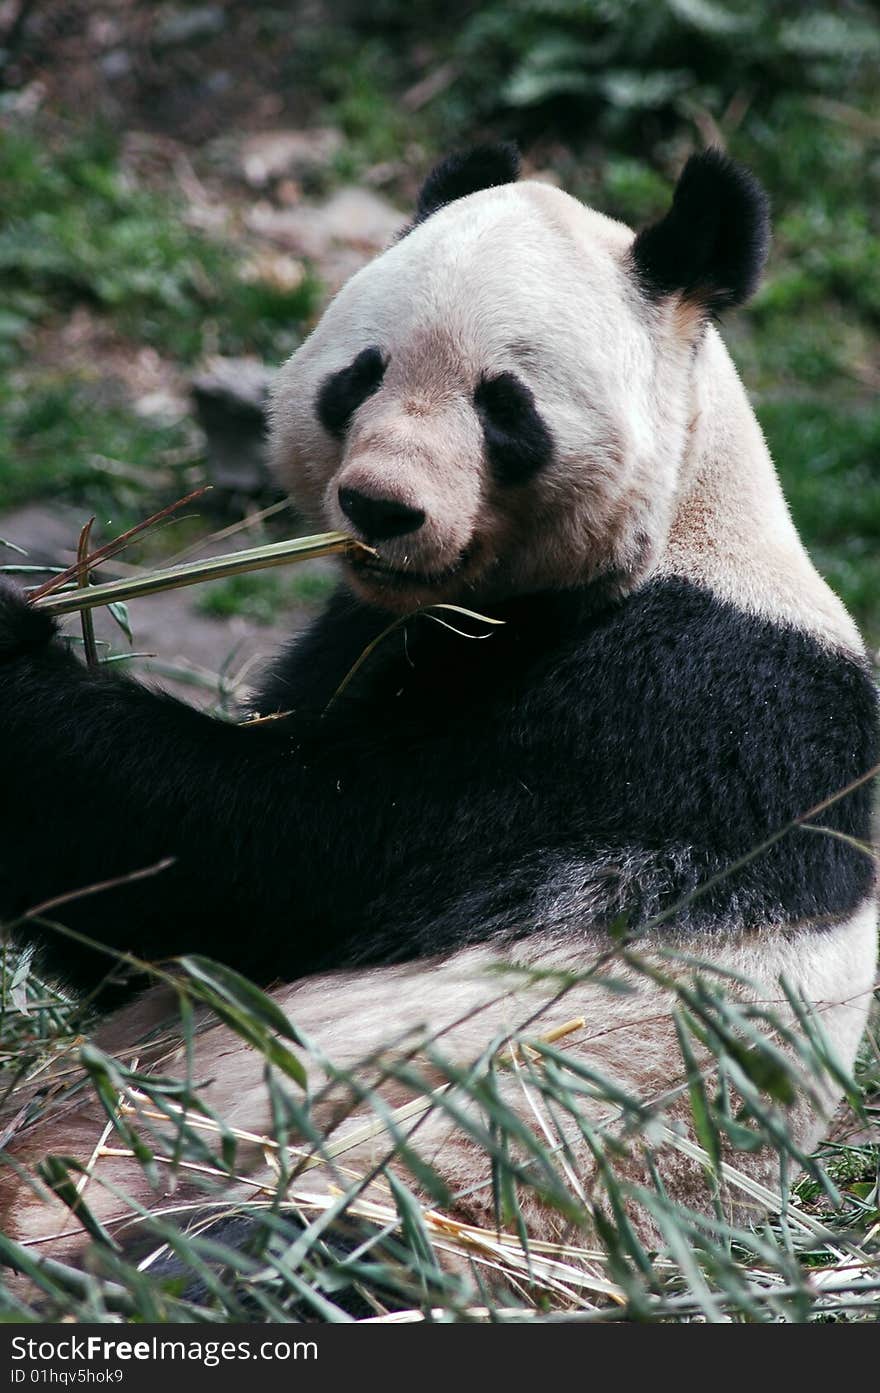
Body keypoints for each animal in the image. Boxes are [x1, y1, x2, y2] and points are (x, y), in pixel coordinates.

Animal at [1, 144, 880, 1281]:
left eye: (505, 405)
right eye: (359, 375)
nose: (380, 507)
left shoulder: (682, 706)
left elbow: (279, 863)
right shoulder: (356, 636)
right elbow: (151, 936)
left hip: (445, 1196)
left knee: (285, 1253)